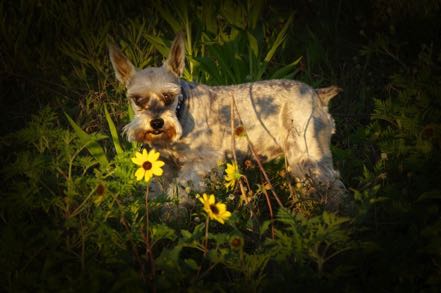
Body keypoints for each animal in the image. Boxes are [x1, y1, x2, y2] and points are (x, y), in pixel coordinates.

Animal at [108, 32, 346, 210]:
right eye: (137, 99)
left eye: (168, 95)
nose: (156, 123)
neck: (182, 112)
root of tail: (317, 94)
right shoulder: (166, 165)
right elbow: (160, 190)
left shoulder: (201, 163)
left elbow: (180, 190)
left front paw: (171, 213)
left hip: (309, 156)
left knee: (334, 186)